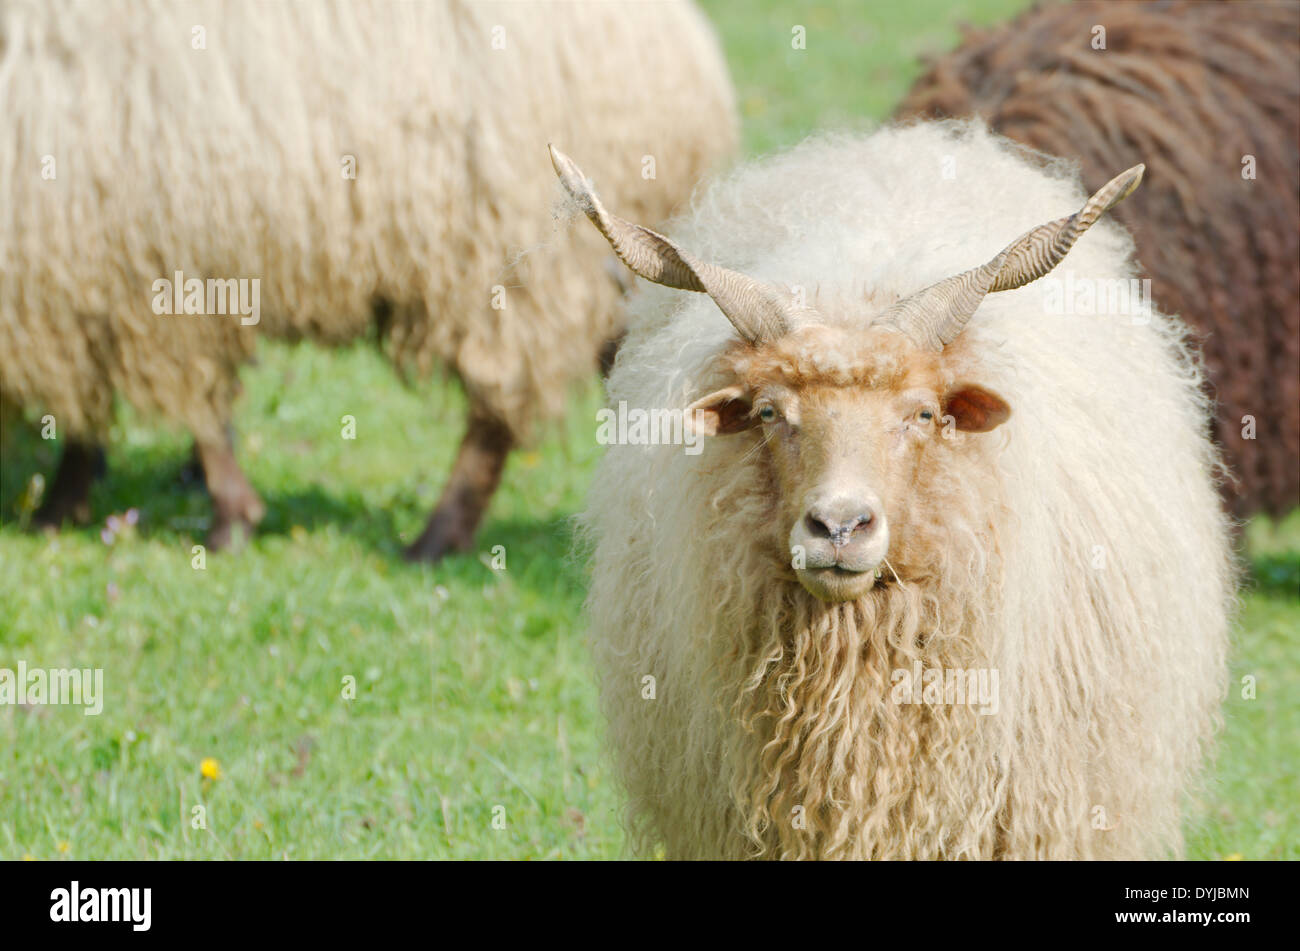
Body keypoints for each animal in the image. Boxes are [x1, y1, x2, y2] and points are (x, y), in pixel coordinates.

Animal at [0, 0, 738, 553]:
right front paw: (74, 496)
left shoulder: (136, 279)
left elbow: (185, 409)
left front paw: (222, 517)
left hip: (515, 271)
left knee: (497, 412)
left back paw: (436, 538)